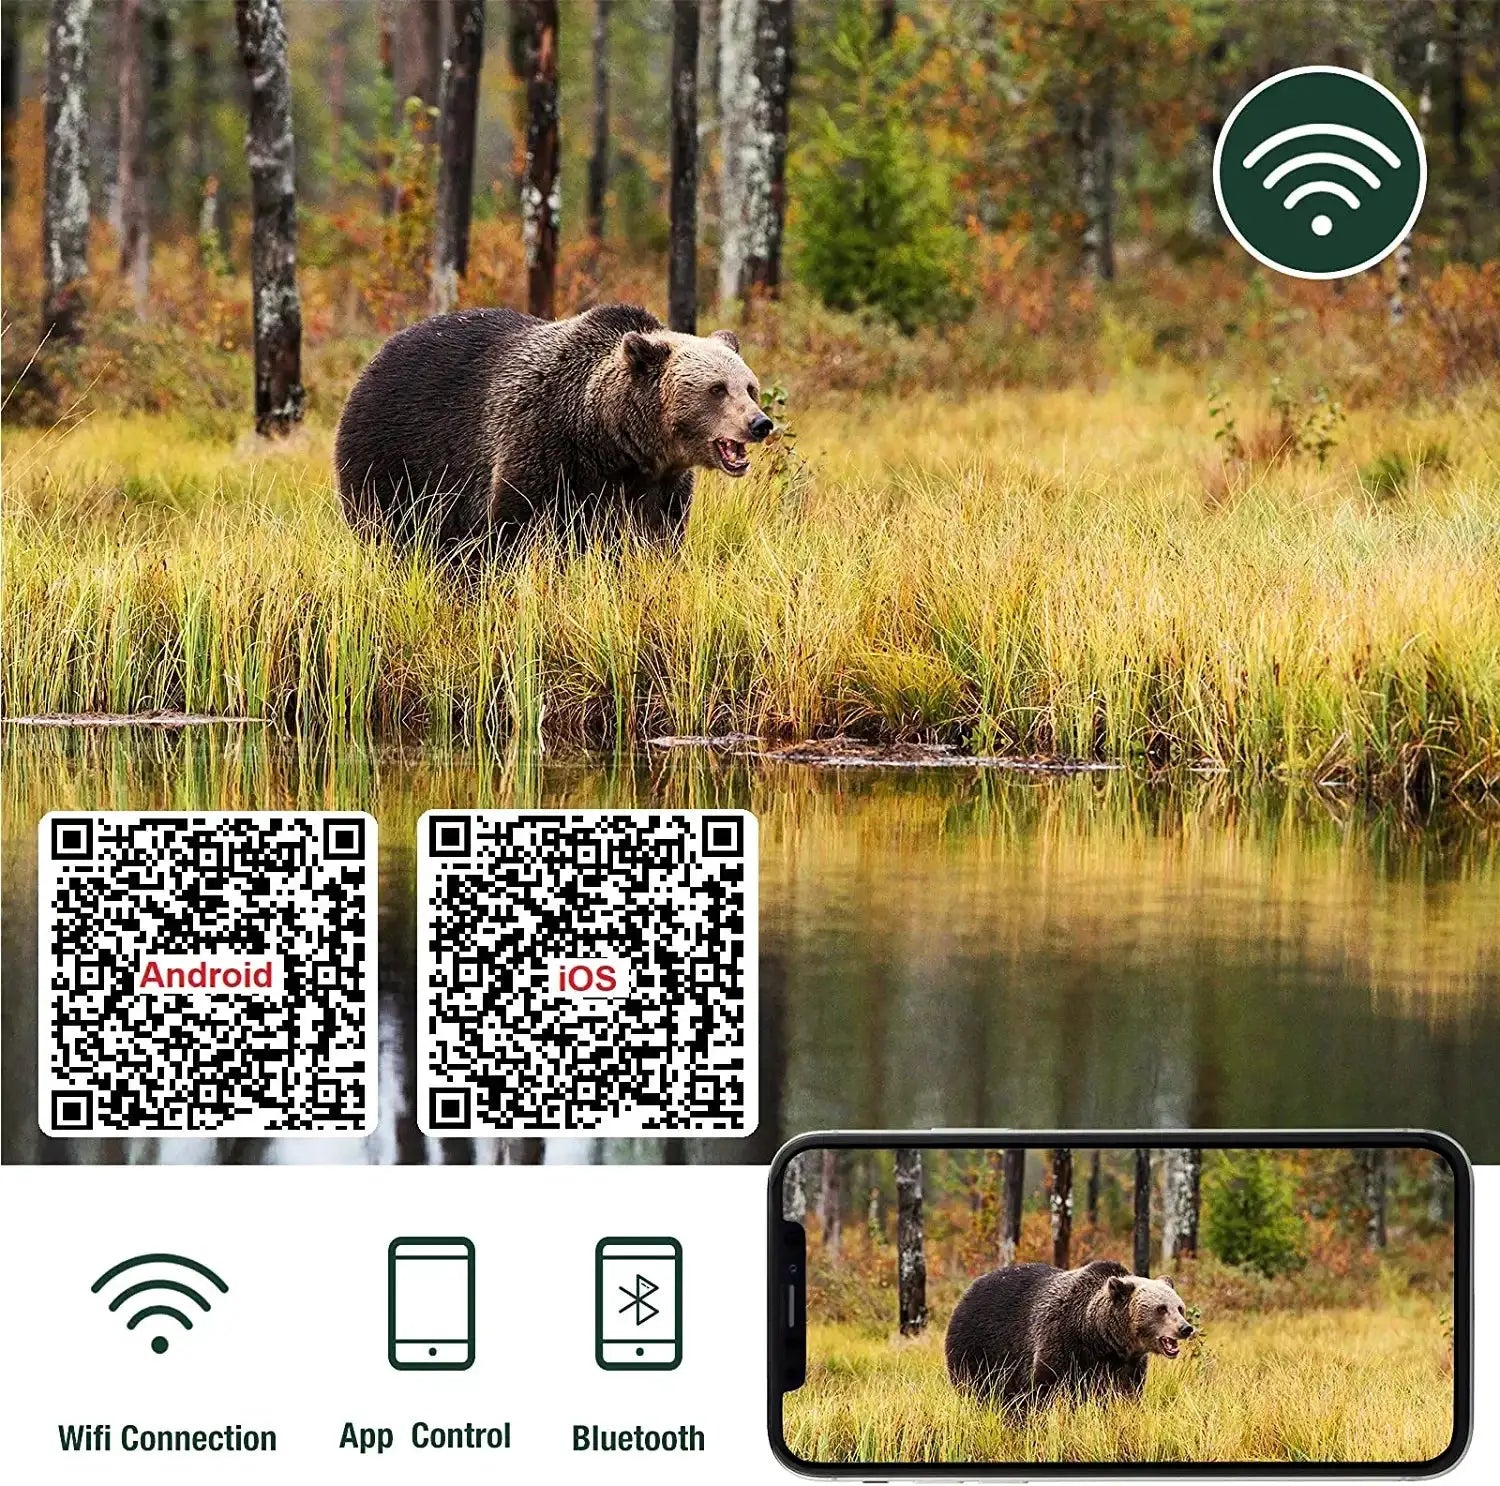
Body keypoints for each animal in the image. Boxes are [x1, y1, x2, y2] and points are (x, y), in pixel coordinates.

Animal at [334, 303, 772, 557]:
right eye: (717, 389)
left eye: (749, 387)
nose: (760, 423)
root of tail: (380, 354)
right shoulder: (543, 445)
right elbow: (516, 527)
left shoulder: (659, 486)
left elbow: (657, 537)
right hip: (395, 454)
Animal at [944, 1259, 1194, 1410]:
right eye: (1161, 1308)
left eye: (1179, 1307)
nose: (1186, 1328)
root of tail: (969, 1289)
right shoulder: (1062, 1342)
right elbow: (1045, 1387)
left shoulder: (1127, 1365)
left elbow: (1126, 1393)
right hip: (979, 1347)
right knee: (977, 1387)